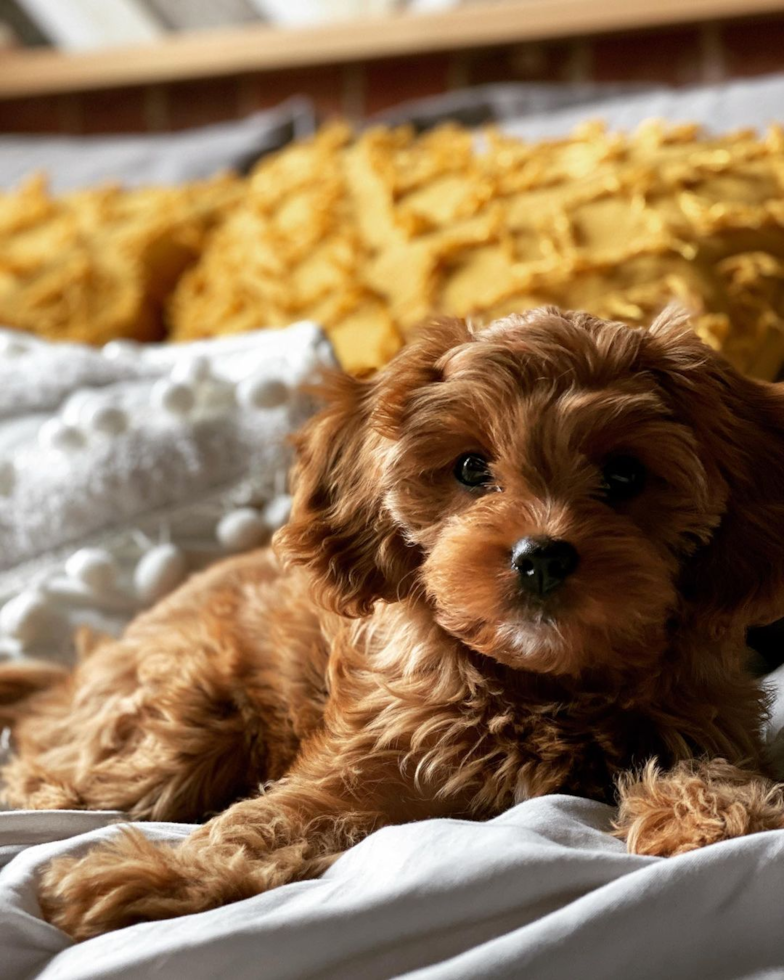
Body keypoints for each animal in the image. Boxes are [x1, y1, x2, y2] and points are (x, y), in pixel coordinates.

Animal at [1, 308, 784, 940]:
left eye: (624, 475)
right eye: (470, 469)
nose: (540, 556)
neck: (543, 684)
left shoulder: (708, 718)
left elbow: (716, 764)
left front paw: (716, 809)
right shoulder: (377, 756)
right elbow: (272, 819)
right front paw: (157, 875)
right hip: (182, 717)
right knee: (52, 764)